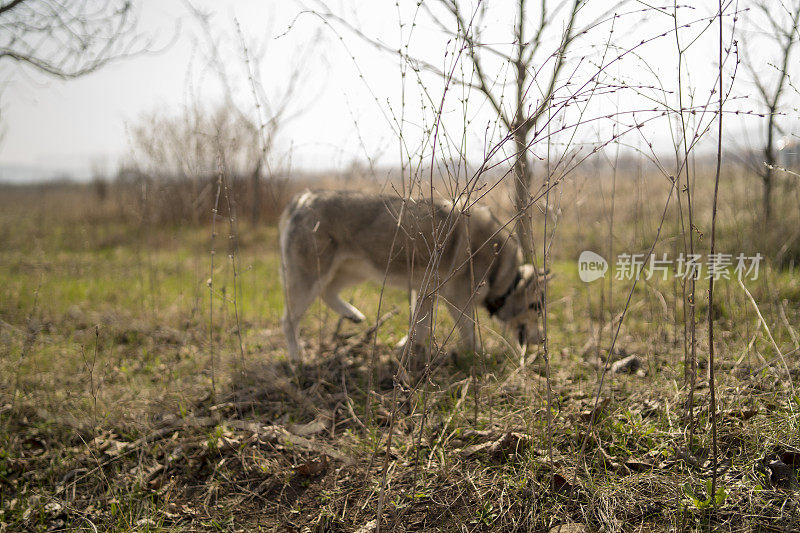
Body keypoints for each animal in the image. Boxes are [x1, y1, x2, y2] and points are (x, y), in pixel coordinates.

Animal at [278, 190, 548, 362]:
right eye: (536, 306)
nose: (544, 340)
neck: (501, 269)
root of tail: (304, 198)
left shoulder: (425, 294)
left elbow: (419, 327)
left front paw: (406, 350)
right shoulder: (458, 301)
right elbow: (468, 332)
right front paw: (480, 357)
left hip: (351, 272)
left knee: (328, 292)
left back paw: (352, 314)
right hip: (309, 280)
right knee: (289, 321)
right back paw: (297, 358)